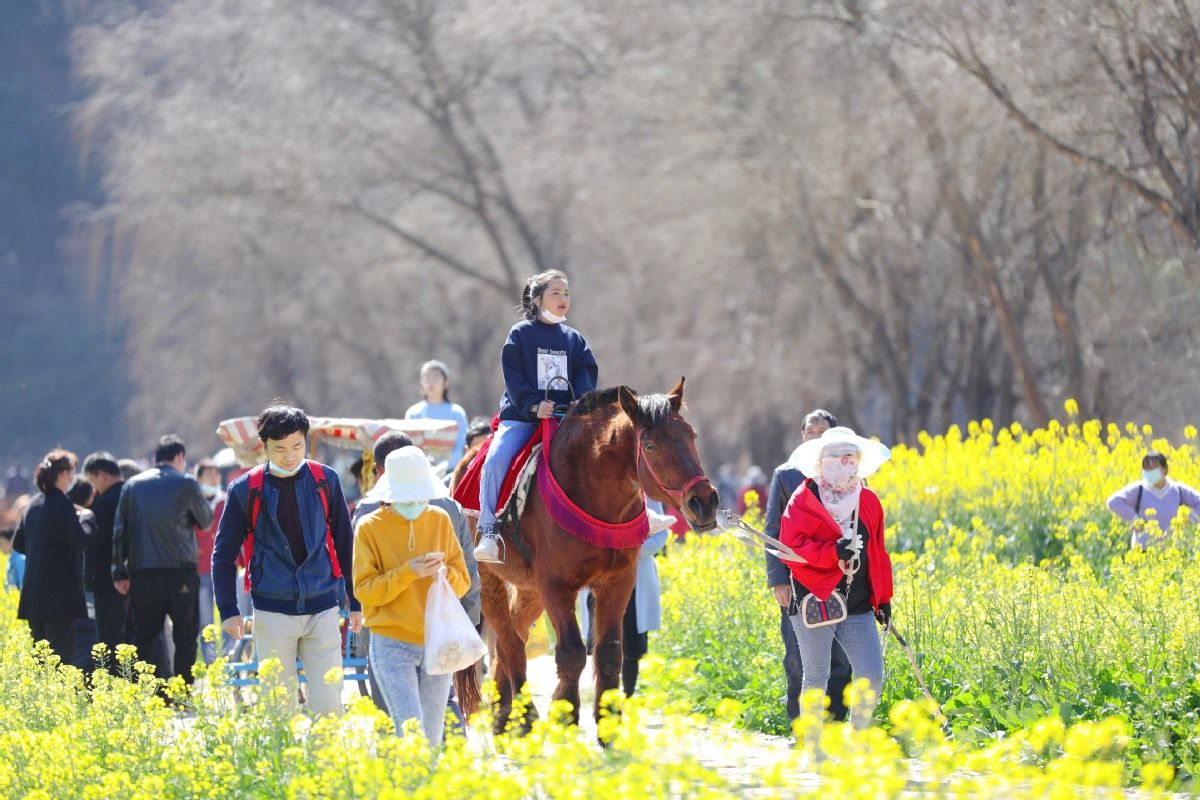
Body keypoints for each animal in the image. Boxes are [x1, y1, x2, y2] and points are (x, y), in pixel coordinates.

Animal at [453, 376, 715, 734]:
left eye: (691, 436)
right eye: (649, 445)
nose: (705, 501)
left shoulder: (618, 581)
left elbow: (609, 652)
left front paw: (609, 726)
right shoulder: (556, 585)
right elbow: (572, 652)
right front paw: (564, 715)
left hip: (530, 591)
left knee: (515, 636)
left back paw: (504, 712)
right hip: (490, 579)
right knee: (510, 643)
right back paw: (525, 716)